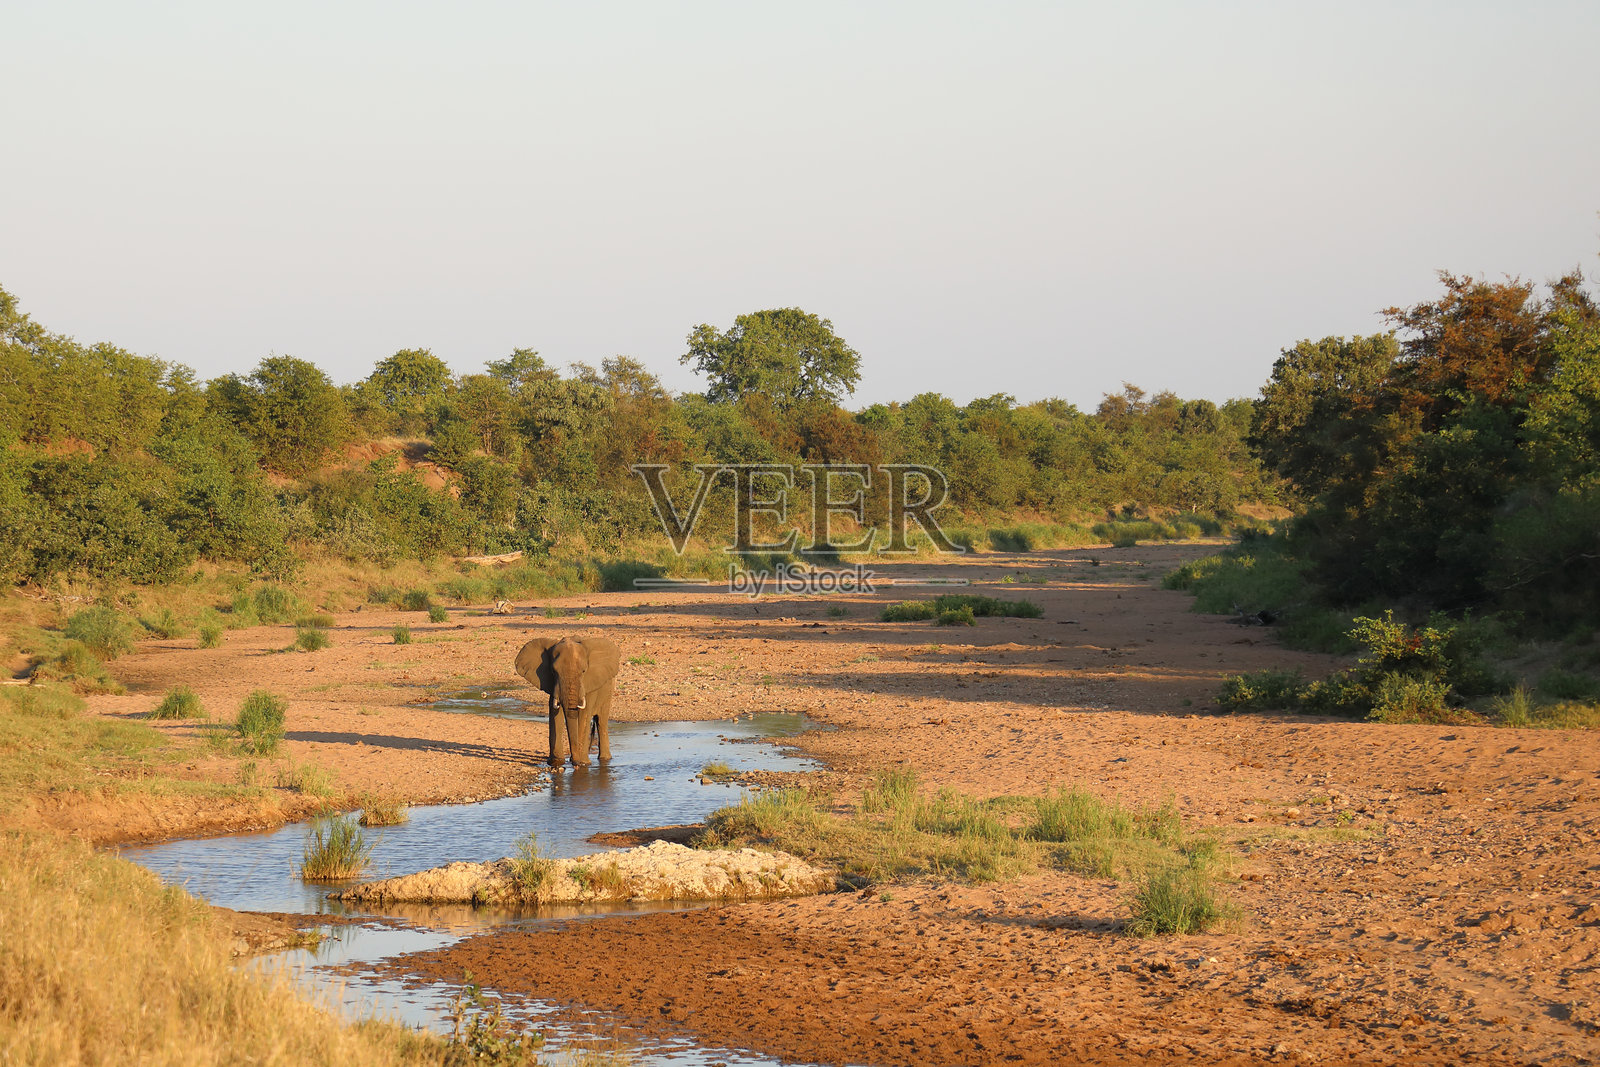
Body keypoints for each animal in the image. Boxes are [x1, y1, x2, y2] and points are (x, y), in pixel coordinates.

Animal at [513, 635, 620, 767]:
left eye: (584, 671)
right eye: (553, 671)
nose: (575, 762)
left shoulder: (589, 685)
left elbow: (584, 715)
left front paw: (582, 763)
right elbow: (555, 713)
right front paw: (556, 762)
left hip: (608, 693)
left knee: (601, 721)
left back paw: (604, 759)